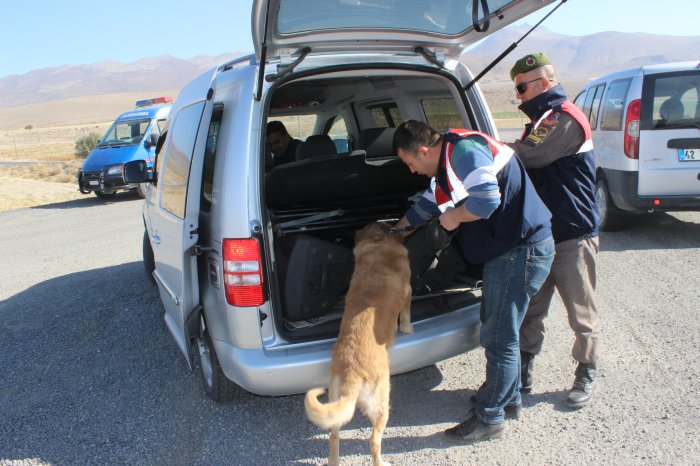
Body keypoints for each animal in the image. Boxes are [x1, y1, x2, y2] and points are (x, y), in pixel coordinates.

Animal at [304, 222, 412, 466]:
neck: (379, 240)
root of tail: (353, 372)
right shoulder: (408, 293)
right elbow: (406, 314)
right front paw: (407, 328)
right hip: (382, 404)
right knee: (374, 441)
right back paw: (381, 462)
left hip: (335, 401)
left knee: (334, 436)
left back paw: (333, 461)